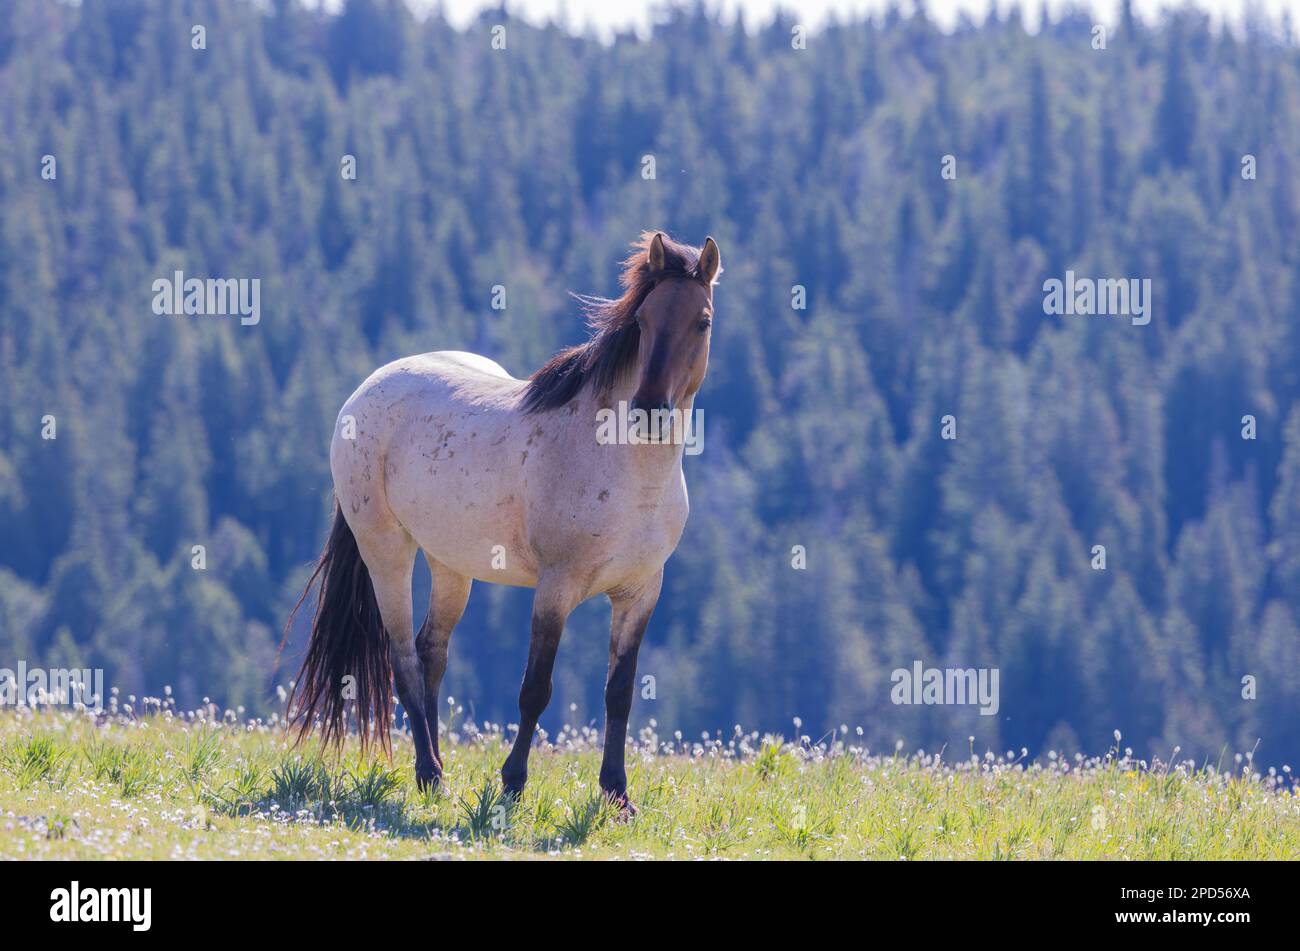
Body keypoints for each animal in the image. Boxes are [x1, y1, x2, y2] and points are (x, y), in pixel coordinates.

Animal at [287, 229, 722, 810]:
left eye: (702, 321)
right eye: (644, 320)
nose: (649, 410)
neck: (626, 468)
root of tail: (365, 390)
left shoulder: (640, 592)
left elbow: (620, 693)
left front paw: (617, 794)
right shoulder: (555, 588)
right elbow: (535, 689)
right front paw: (513, 782)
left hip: (451, 564)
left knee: (431, 652)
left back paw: (437, 770)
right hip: (386, 551)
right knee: (403, 657)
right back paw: (429, 772)